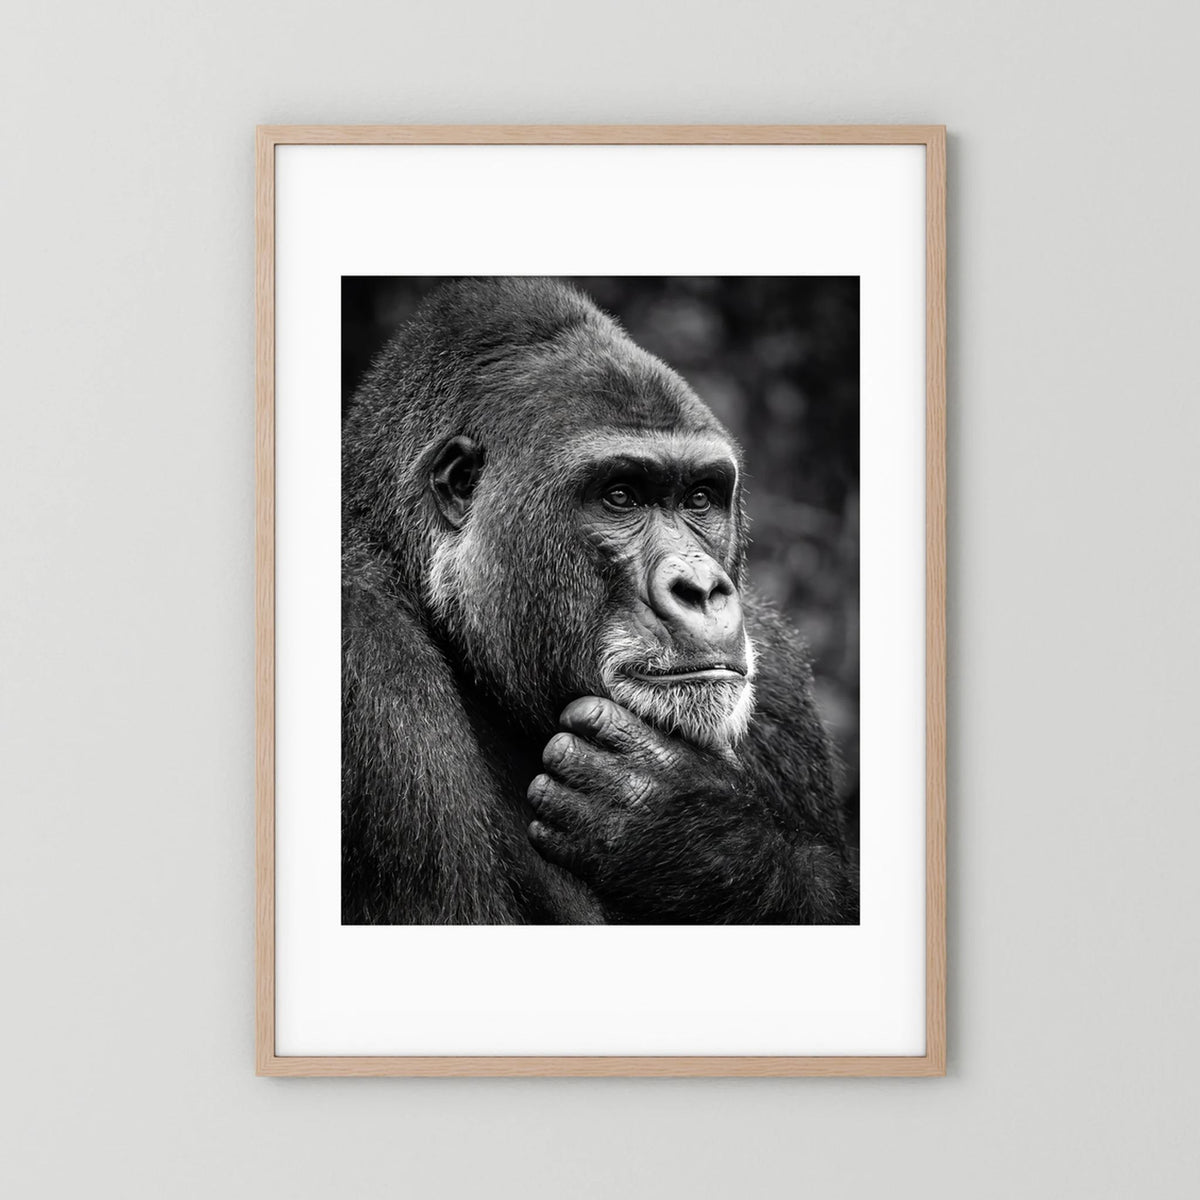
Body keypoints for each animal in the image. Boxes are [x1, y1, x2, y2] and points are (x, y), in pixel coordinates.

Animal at [341, 277, 858, 924]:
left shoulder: (781, 676)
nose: (702, 590)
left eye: (700, 497)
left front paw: (694, 833)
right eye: (620, 496)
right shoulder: (367, 658)